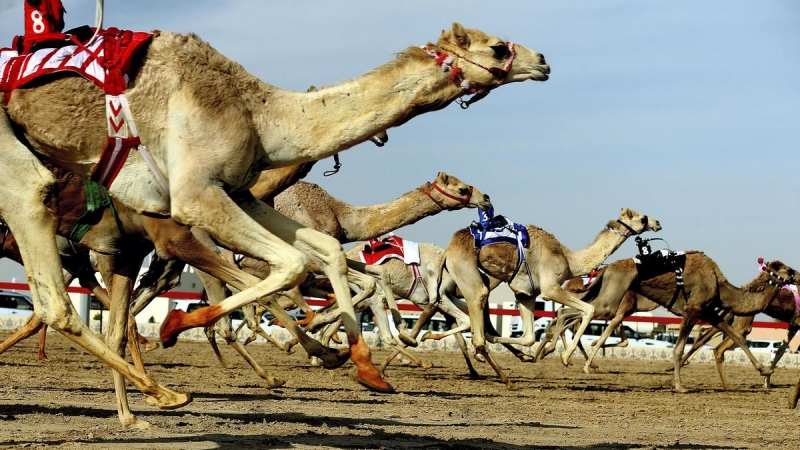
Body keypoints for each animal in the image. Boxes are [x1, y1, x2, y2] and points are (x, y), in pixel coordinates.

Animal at [1, 22, 549, 402]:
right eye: (498, 47)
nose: (543, 59)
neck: (257, 114)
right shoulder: (195, 197)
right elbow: (291, 268)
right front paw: (179, 327)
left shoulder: (239, 194)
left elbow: (324, 255)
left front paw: (364, 368)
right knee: (56, 290)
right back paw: (165, 392)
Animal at [438, 208, 661, 389]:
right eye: (642, 218)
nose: (657, 223)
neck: (569, 259)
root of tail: (448, 248)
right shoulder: (550, 288)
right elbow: (588, 310)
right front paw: (565, 356)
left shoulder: (526, 294)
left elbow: (528, 337)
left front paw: (531, 354)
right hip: (467, 270)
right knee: (477, 308)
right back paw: (507, 380)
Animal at [576, 253, 798, 392]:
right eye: (789, 270)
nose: (798, 277)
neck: (721, 287)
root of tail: (607, 268)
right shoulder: (693, 308)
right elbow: (679, 348)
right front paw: (679, 386)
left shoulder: (709, 311)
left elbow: (737, 337)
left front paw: (765, 369)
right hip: (611, 297)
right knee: (582, 311)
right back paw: (583, 364)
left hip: (606, 293)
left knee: (576, 311)